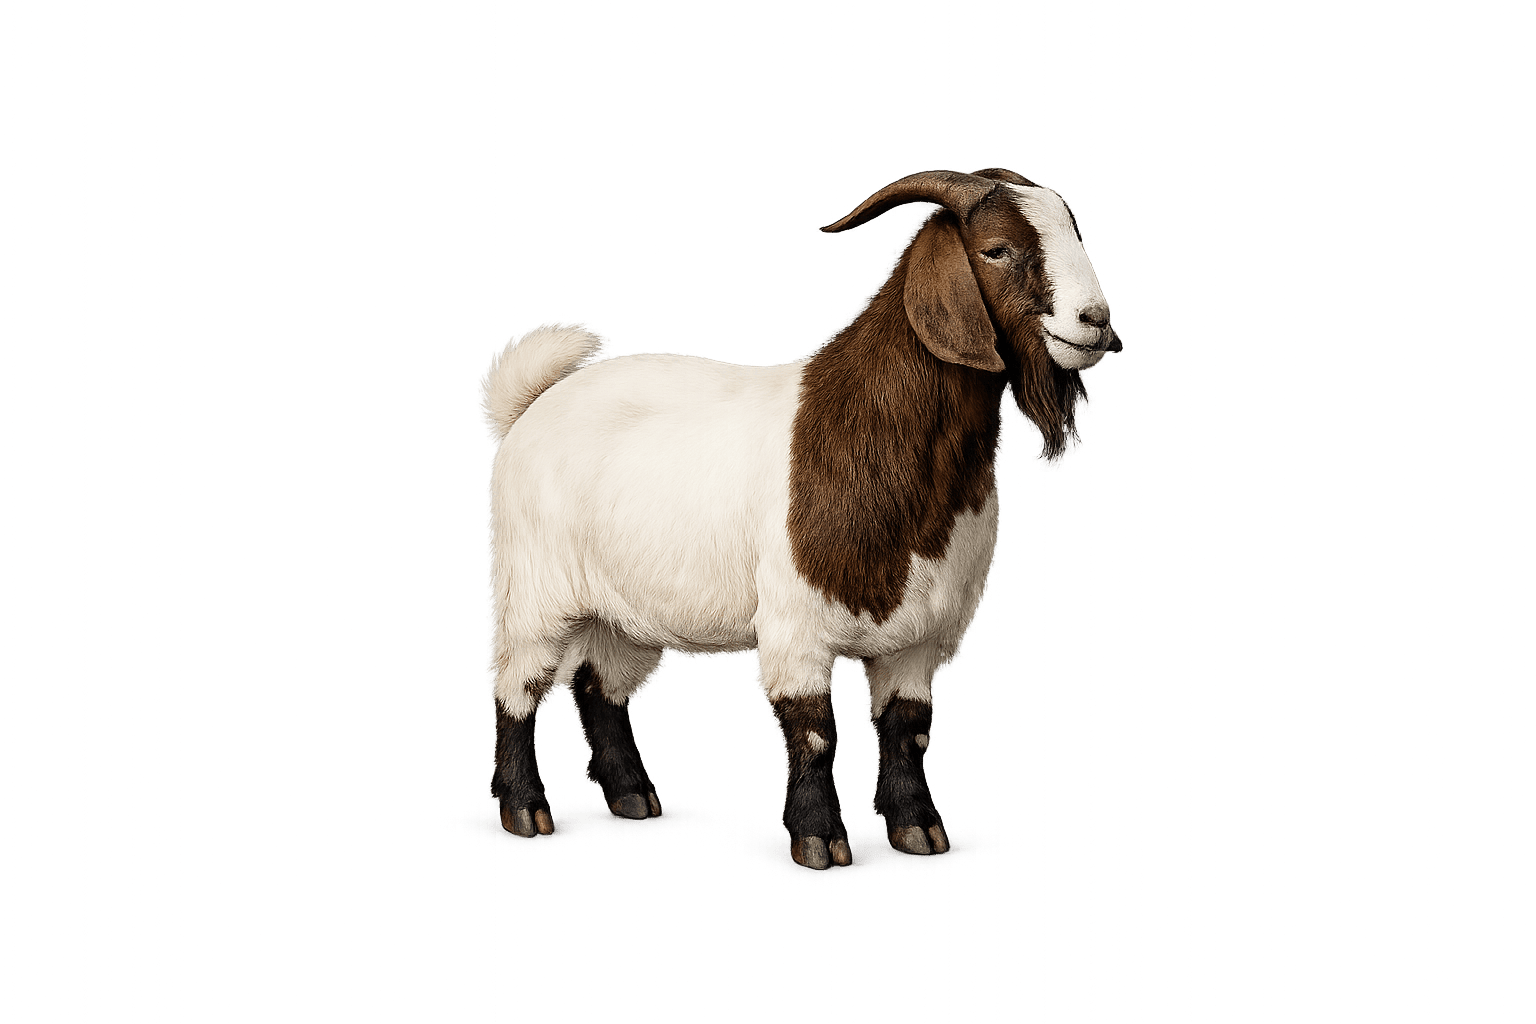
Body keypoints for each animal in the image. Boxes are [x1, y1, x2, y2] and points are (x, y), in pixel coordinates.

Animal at [477, 168, 1123, 869]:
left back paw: (633, 796)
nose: (1096, 322)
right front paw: (818, 839)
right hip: (532, 592)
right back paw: (525, 810)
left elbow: (907, 730)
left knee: (599, 686)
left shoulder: (919, 634)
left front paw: (919, 830)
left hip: (626, 609)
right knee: (517, 688)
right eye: (997, 249)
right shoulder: (797, 622)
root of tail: (531, 402)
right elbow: (813, 731)